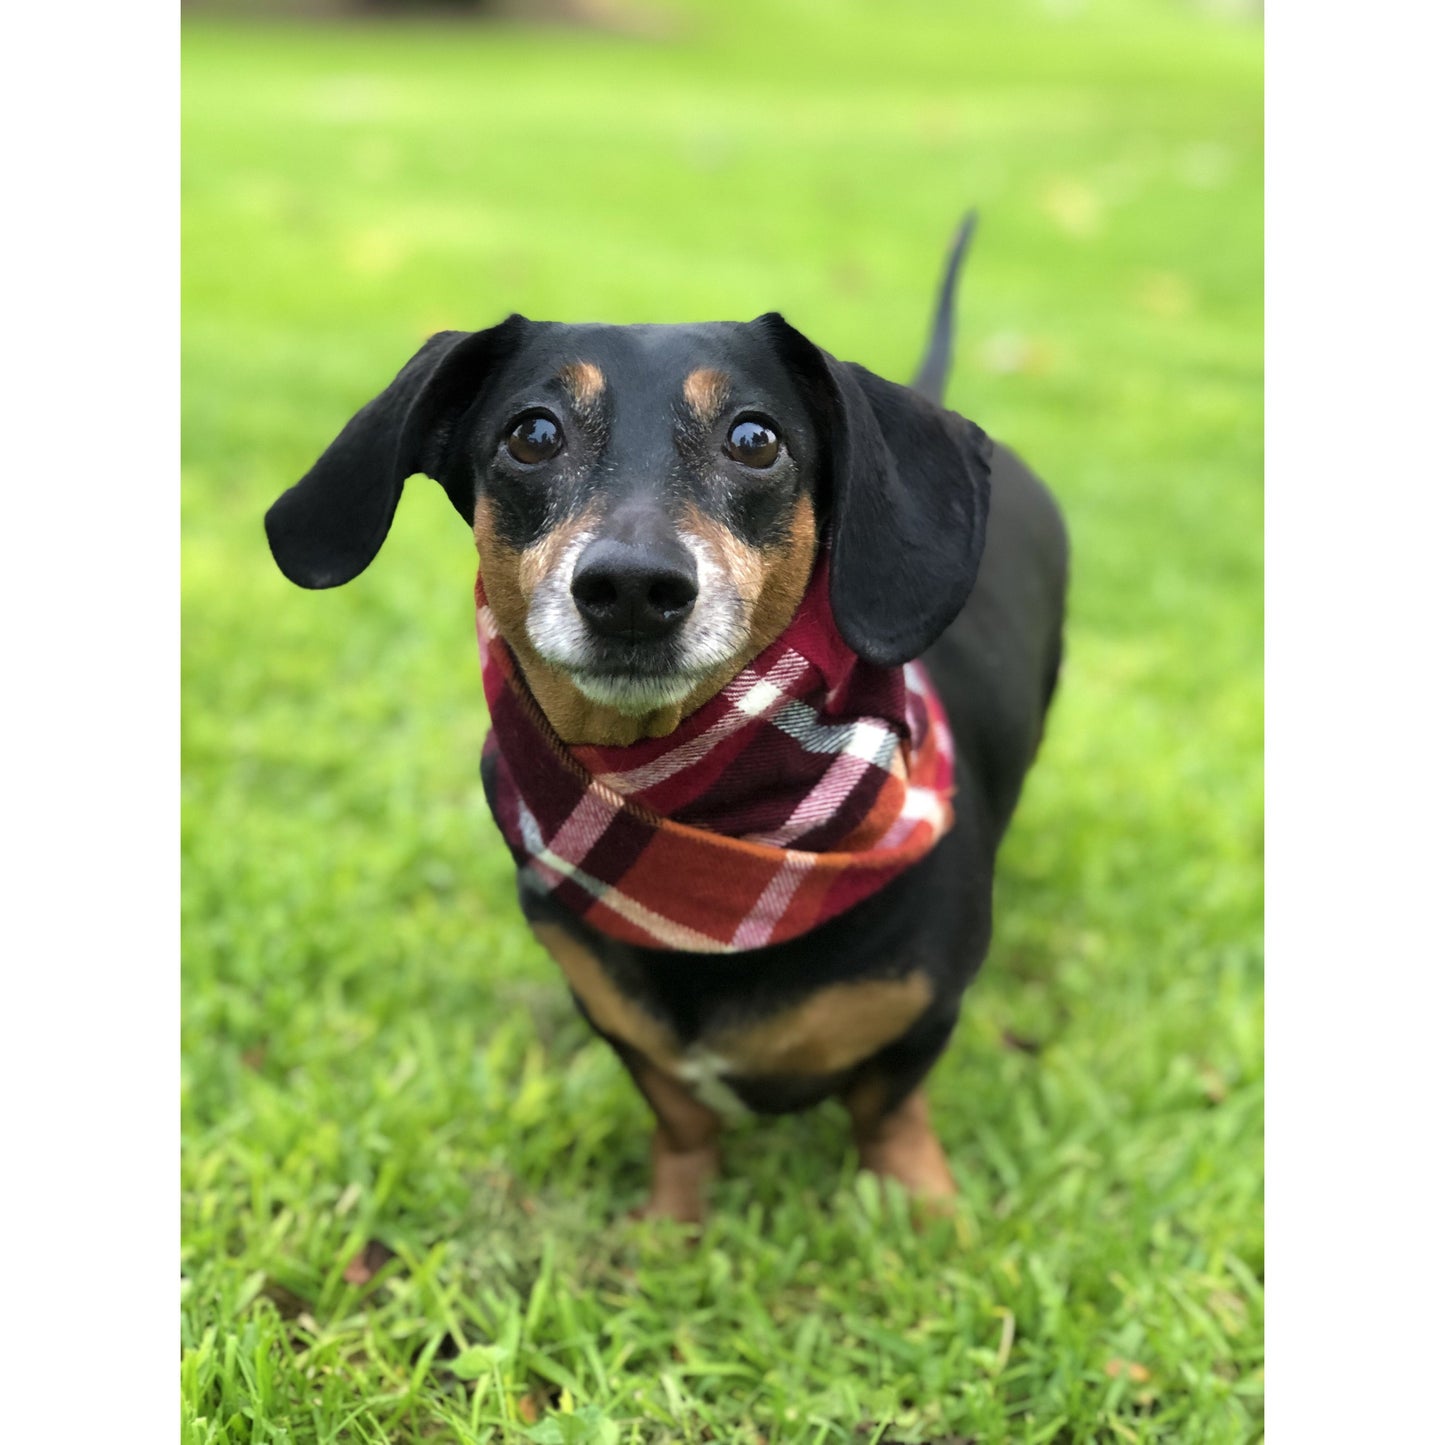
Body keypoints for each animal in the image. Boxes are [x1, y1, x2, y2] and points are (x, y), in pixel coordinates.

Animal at [265, 216, 1069, 1219]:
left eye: (754, 438)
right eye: (532, 433)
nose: (632, 589)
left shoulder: (923, 1013)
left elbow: (889, 1110)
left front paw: (921, 1214)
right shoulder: (618, 1020)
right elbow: (681, 1117)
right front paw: (671, 1223)